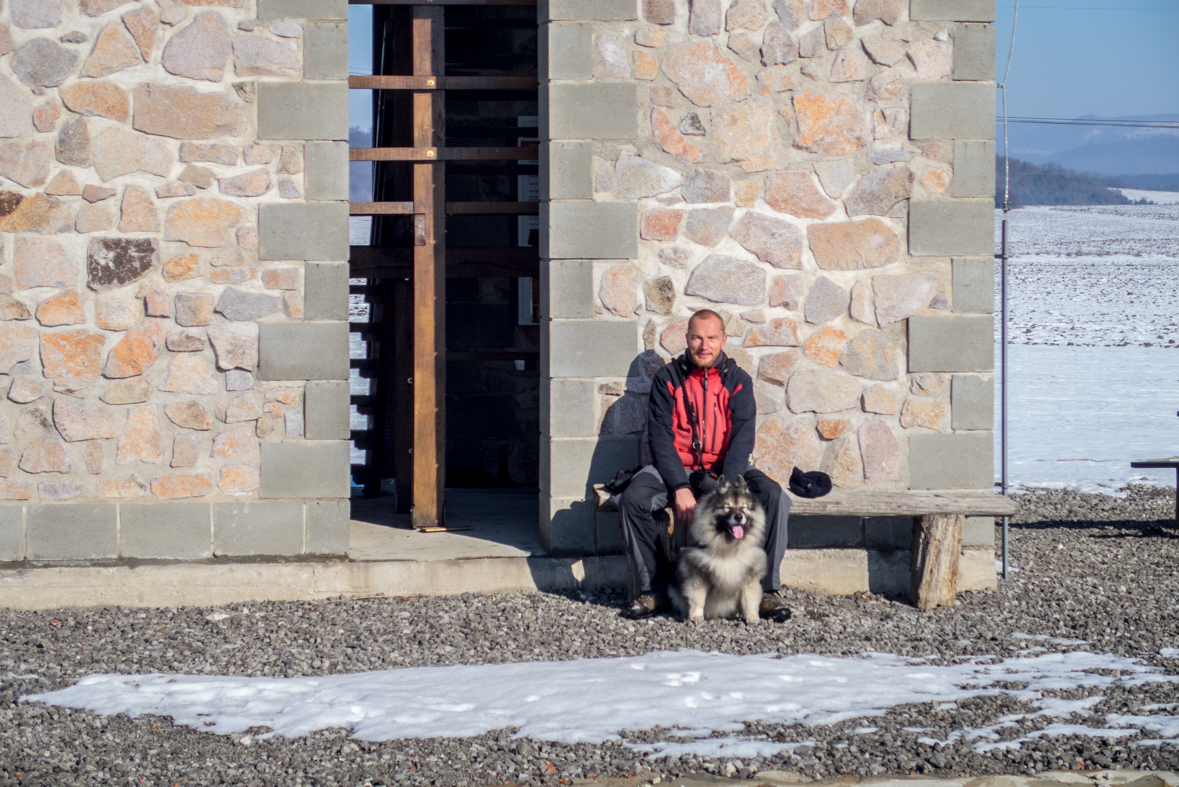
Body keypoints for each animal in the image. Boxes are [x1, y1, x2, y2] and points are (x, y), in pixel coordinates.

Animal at [669, 475, 768, 622]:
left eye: (744, 507)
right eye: (727, 507)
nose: (739, 516)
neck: (729, 549)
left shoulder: (749, 579)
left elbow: (750, 600)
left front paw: (752, 617)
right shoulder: (697, 575)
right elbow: (698, 599)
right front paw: (696, 616)